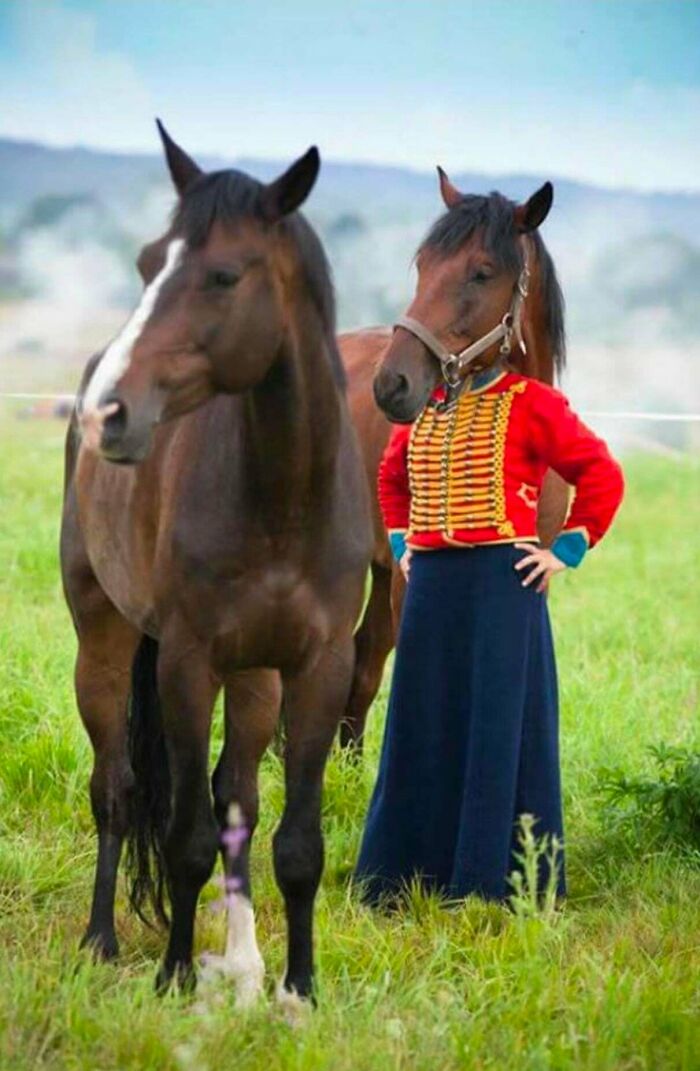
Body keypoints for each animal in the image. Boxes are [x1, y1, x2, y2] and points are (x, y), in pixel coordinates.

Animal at [60, 122, 372, 1006]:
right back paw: (101, 937)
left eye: (225, 274)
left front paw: (298, 985)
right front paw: (172, 975)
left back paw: (243, 959)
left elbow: (293, 840)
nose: (108, 413)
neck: (283, 498)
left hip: (255, 676)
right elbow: (186, 836)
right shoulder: (187, 663)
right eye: (146, 263)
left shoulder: (319, 668)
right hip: (104, 642)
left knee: (239, 797)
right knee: (117, 790)